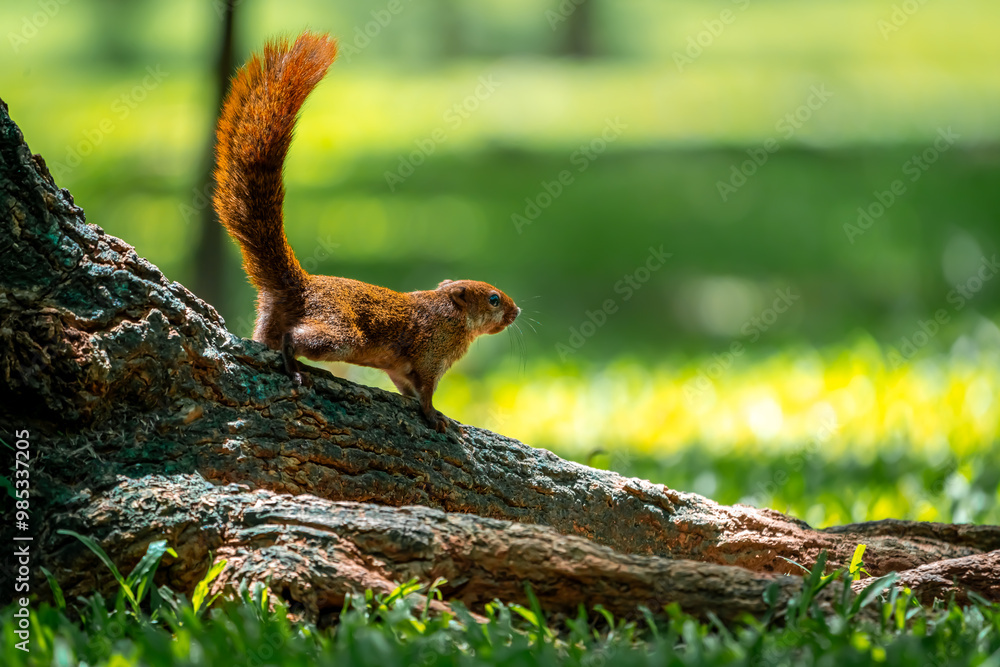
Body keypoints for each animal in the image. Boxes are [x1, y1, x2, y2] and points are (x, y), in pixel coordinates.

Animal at [212, 31, 520, 434]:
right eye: (494, 299)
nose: (517, 311)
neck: (449, 315)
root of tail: (299, 285)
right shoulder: (430, 353)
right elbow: (426, 391)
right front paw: (434, 416)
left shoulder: (401, 367)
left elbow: (405, 385)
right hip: (342, 333)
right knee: (293, 340)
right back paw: (296, 368)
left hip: (270, 318)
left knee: (268, 340)